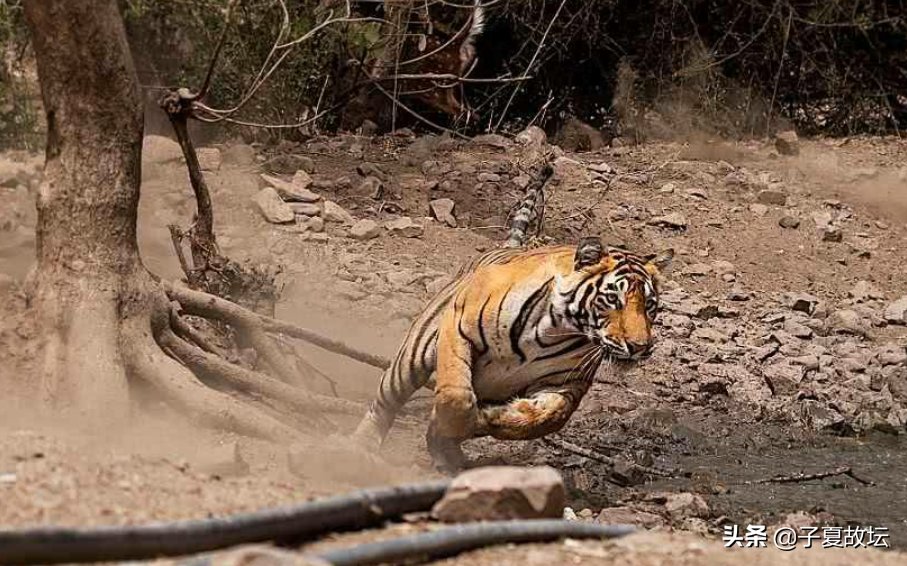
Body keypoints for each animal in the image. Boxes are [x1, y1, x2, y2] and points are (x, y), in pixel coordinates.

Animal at [352, 237, 672, 472]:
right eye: (612, 300)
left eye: (649, 305)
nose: (640, 346)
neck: (554, 330)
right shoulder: (459, 328)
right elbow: (456, 395)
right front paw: (456, 422)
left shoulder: (567, 384)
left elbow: (546, 417)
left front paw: (488, 418)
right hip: (412, 357)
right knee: (385, 403)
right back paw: (360, 447)